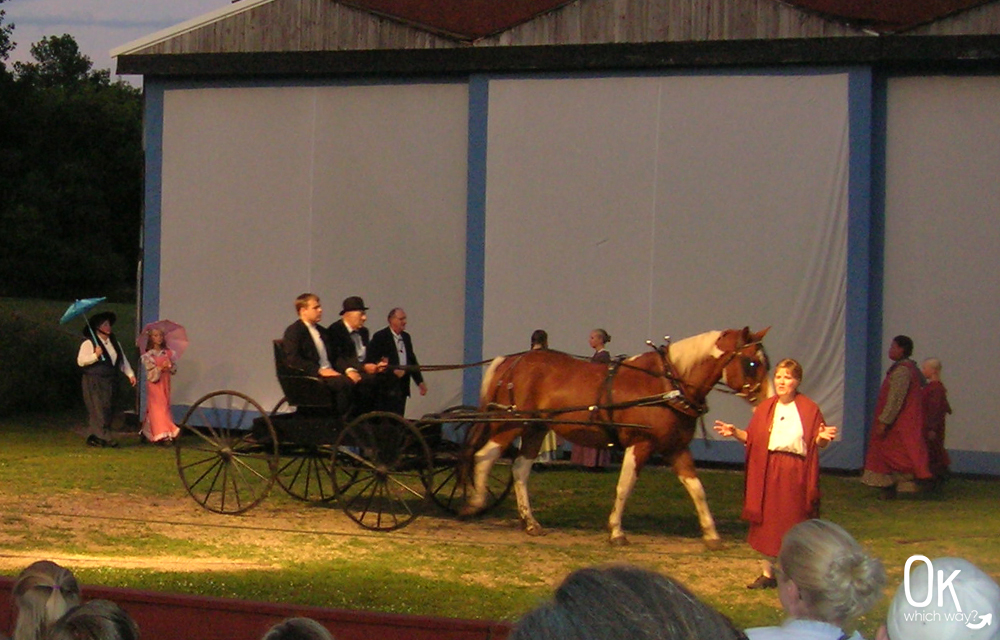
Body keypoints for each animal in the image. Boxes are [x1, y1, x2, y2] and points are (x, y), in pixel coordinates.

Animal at [458, 328, 768, 548]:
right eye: (752, 362)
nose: (768, 397)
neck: (667, 383)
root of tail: (511, 361)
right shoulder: (640, 443)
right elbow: (625, 486)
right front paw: (616, 531)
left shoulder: (676, 447)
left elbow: (697, 489)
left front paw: (711, 534)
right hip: (511, 423)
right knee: (483, 457)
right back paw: (476, 502)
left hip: (535, 428)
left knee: (520, 469)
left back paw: (530, 521)